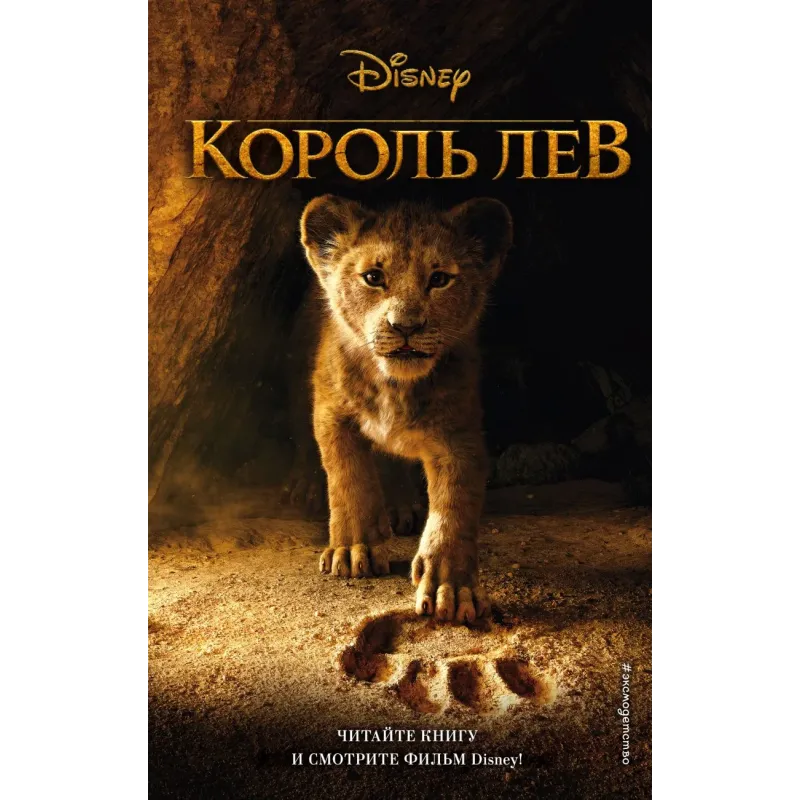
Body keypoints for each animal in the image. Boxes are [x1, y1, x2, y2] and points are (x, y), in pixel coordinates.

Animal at [299, 195, 513, 623]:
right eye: (373, 277)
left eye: (440, 279)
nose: (406, 326)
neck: (394, 386)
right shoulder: (331, 413)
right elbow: (349, 478)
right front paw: (353, 549)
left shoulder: (459, 435)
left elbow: (454, 508)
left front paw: (452, 587)